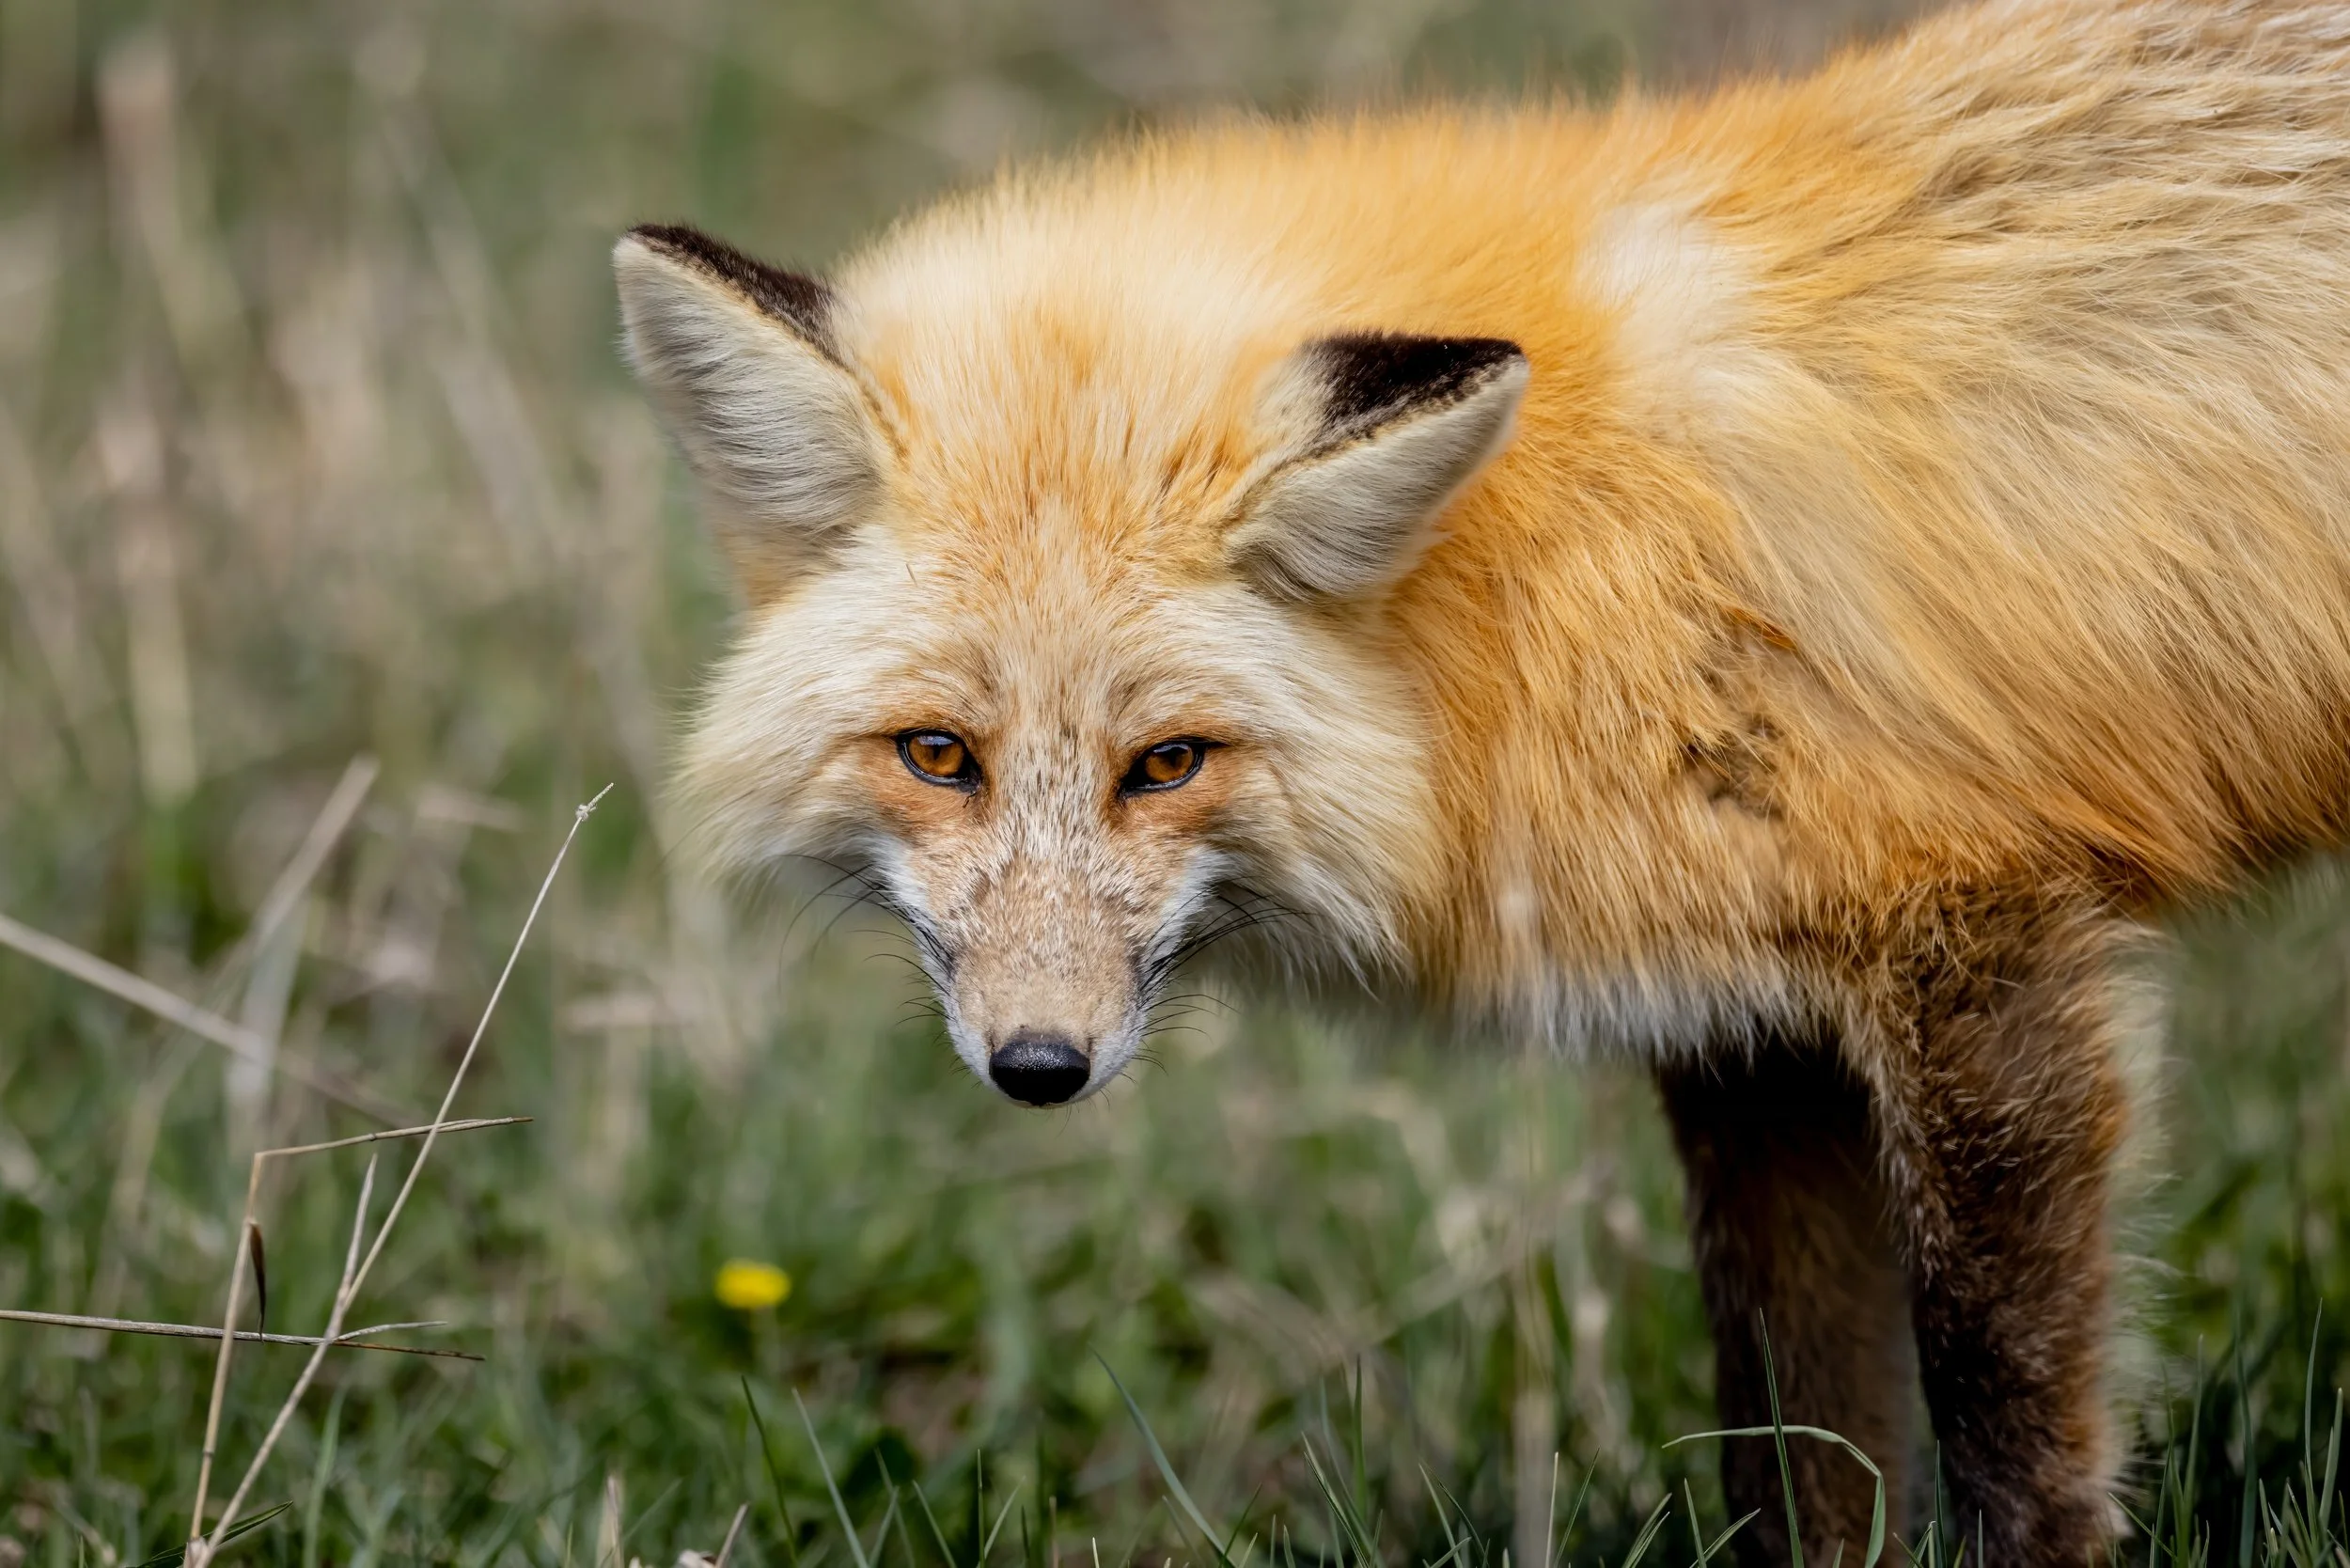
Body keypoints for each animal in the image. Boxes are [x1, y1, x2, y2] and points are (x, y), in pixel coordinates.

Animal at [612, 0, 2350, 1558]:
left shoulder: (1981, 951)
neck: (1538, 567)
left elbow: (2006, 1422)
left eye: (1167, 764)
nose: (1040, 1064)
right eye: (939, 757)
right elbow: (1802, 1451)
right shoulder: (1758, 1031)